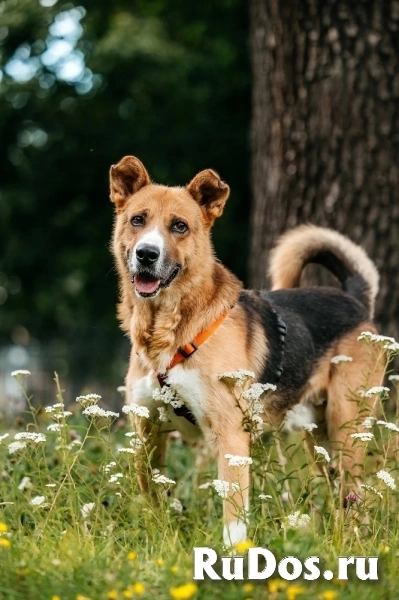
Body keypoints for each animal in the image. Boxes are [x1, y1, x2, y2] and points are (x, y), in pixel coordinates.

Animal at [111, 156, 386, 548]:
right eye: (137, 220)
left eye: (179, 226)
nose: (146, 254)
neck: (168, 334)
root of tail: (354, 299)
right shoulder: (146, 429)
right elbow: (153, 498)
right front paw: (159, 537)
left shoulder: (230, 436)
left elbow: (234, 516)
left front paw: (233, 554)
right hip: (318, 441)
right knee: (342, 495)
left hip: (346, 426)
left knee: (355, 495)